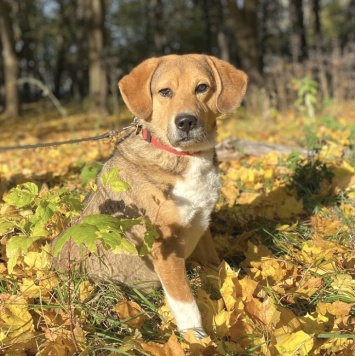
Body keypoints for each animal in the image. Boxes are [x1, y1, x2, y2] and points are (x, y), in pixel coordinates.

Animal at [52, 54, 248, 338]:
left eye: (202, 87)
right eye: (164, 91)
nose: (186, 122)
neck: (182, 157)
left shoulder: (202, 227)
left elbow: (216, 271)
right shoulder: (165, 247)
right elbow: (186, 303)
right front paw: (196, 339)